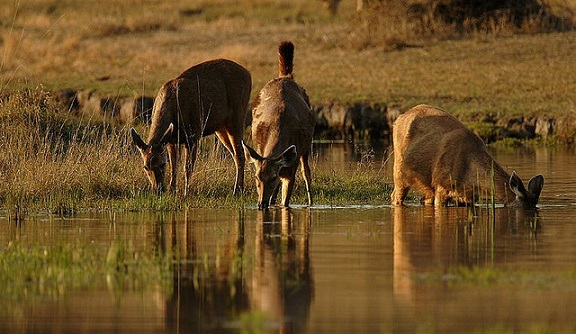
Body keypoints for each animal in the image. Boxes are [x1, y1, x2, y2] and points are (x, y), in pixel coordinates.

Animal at [131, 58, 252, 196]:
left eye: (162, 164)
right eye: (145, 167)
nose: (158, 189)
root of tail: (248, 74)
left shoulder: (193, 134)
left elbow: (187, 166)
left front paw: (185, 192)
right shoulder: (172, 139)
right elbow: (174, 166)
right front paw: (172, 191)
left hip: (237, 114)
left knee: (240, 153)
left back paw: (237, 190)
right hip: (221, 126)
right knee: (235, 153)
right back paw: (239, 188)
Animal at [243, 41, 316, 209]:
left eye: (273, 177)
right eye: (256, 177)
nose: (260, 203)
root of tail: (285, 76)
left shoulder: (290, 170)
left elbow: (285, 203)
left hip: (306, 147)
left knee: (306, 172)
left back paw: (310, 203)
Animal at [392, 104, 544, 209]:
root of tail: (398, 117)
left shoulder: (469, 196)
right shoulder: (441, 184)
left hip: (426, 186)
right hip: (399, 170)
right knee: (395, 196)